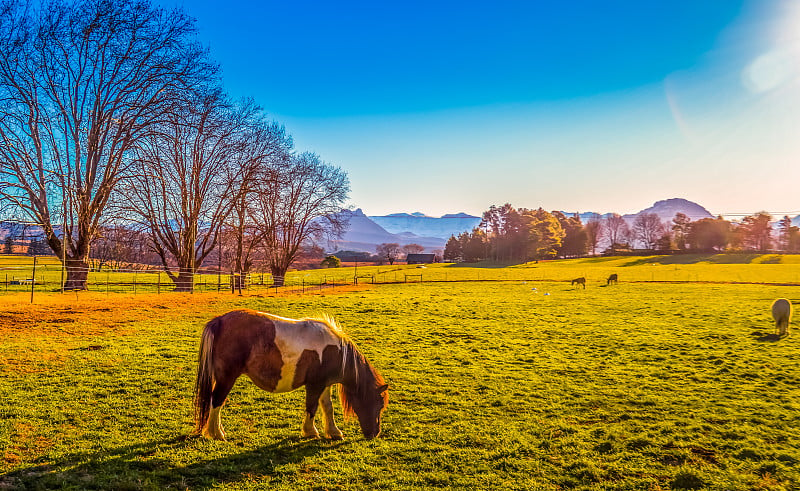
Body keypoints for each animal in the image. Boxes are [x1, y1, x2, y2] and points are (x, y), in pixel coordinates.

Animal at [197, 310, 390, 440]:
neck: (334, 351)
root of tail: (219, 321)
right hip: (227, 378)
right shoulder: (314, 385)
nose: (375, 433)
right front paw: (310, 431)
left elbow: (327, 407)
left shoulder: (324, 384)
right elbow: (311, 407)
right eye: (379, 404)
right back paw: (216, 434)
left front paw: (334, 432)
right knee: (217, 401)